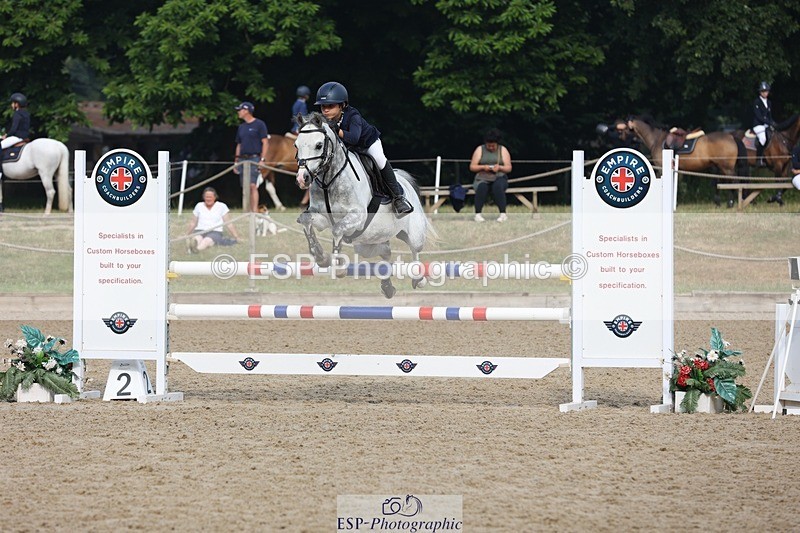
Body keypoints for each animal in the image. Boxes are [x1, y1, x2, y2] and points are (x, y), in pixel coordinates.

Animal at [293, 112, 432, 299]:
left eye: (318, 145)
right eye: (296, 145)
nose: (302, 178)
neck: (328, 181)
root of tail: (404, 182)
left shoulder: (357, 216)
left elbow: (337, 229)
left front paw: (338, 267)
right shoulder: (321, 217)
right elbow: (306, 220)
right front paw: (321, 257)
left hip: (413, 233)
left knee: (415, 250)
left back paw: (419, 278)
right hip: (367, 243)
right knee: (385, 252)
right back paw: (387, 287)